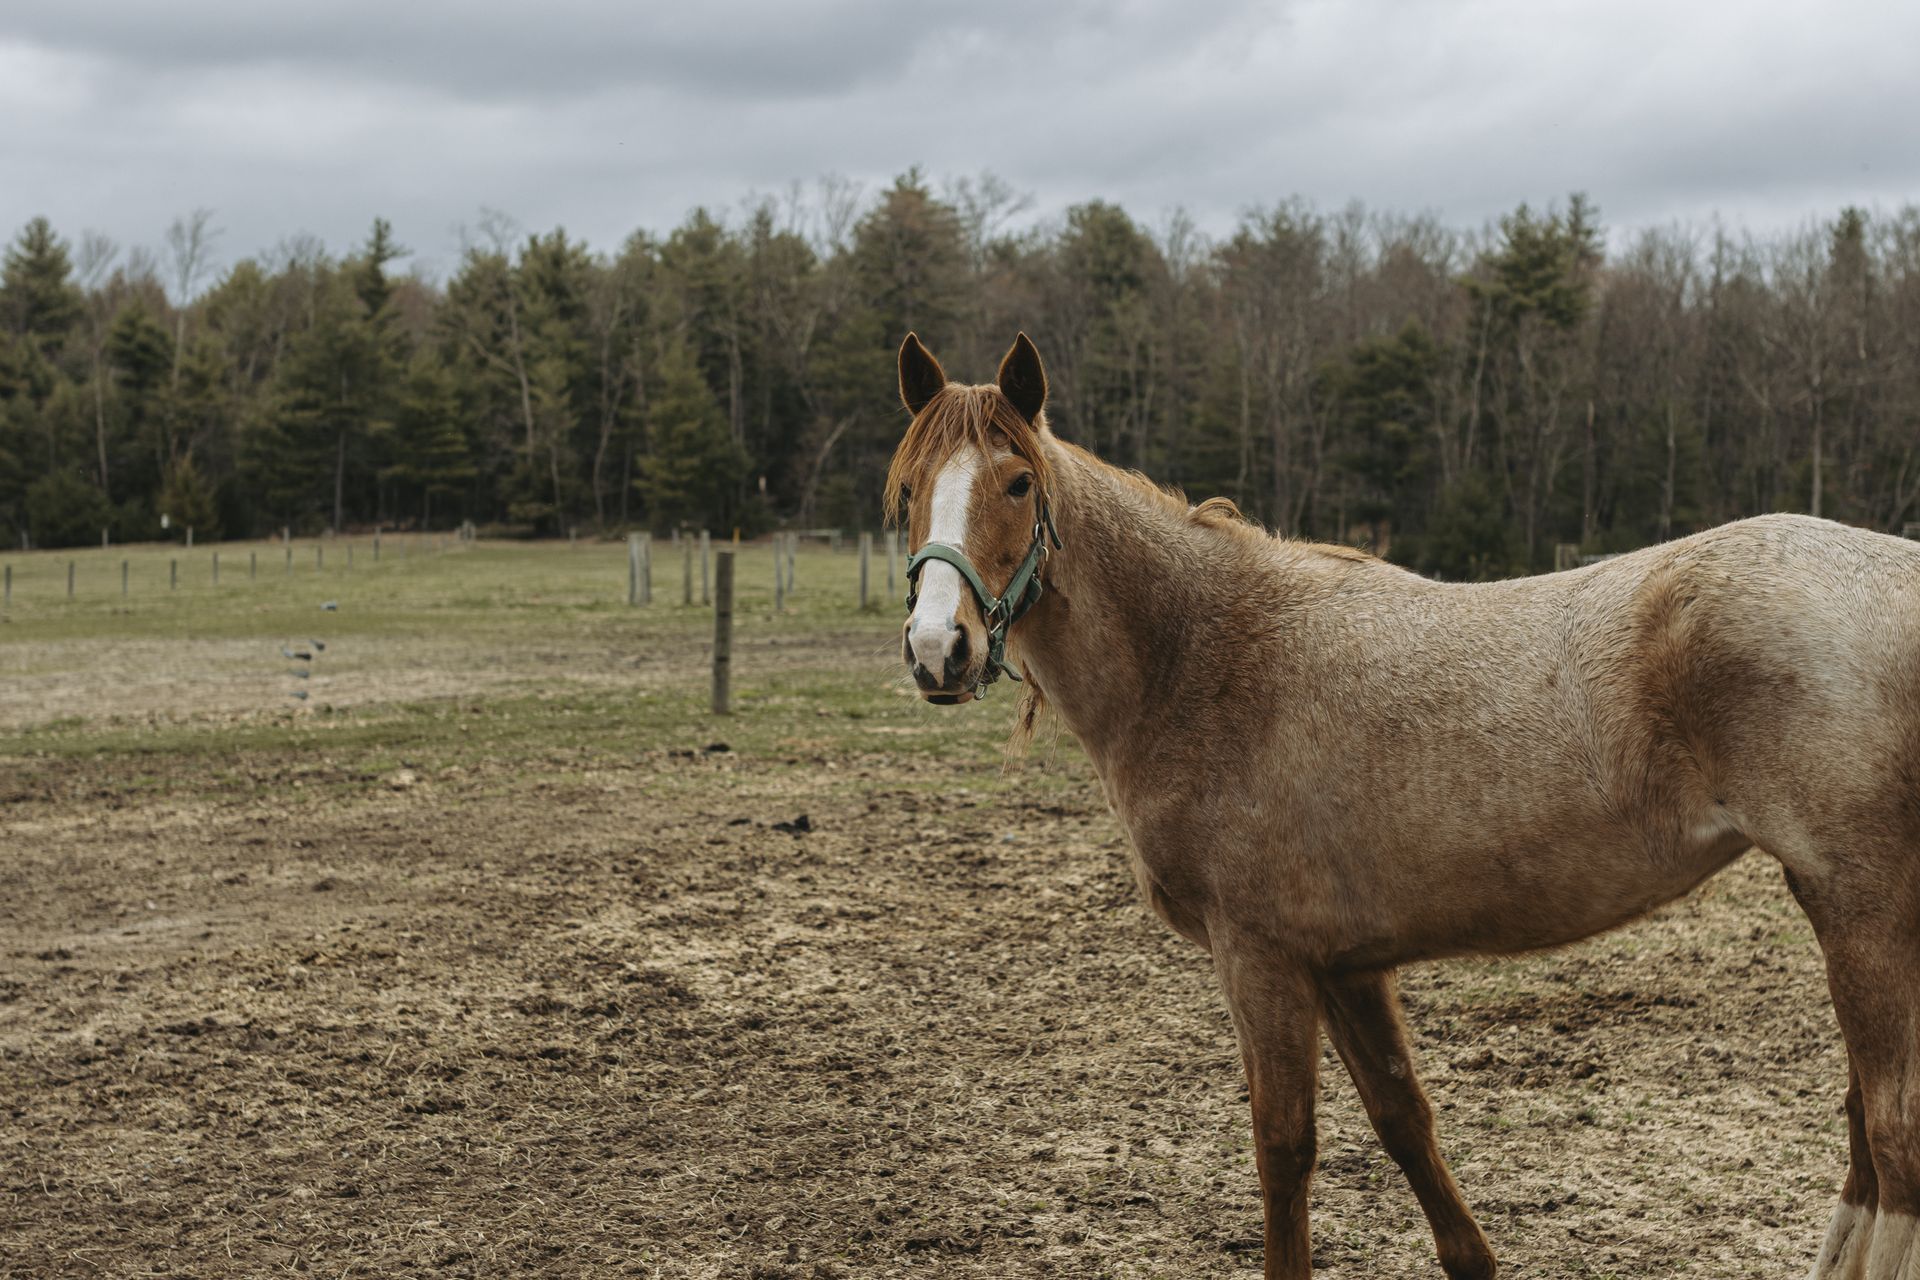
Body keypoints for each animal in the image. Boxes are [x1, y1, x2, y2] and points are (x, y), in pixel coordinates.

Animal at [890, 333, 1920, 1280]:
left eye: (1018, 483)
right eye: (907, 491)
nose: (940, 649)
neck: (1206, 657)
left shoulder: (1260, 957)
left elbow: (1284, 1149)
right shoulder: (1345, 966)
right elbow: (1403, 1120)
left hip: (1862, 914)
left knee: (1893, 1142)